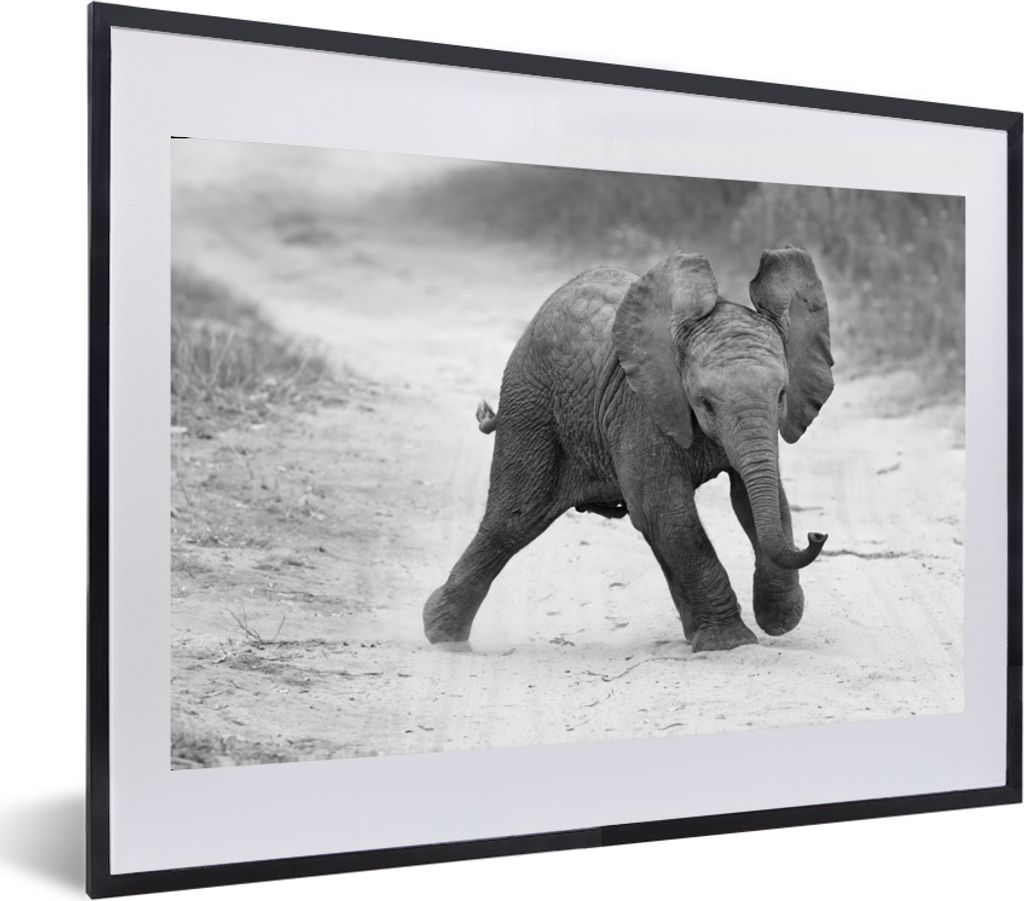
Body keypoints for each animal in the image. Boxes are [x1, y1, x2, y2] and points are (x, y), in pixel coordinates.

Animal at [423, 246, 834, 652]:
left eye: (781, 395)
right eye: (706, 403)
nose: (818, 535)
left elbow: (758, 499)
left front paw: (778, 619)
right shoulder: (640, 408)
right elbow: (668, 511)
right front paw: (731, 643)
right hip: (530, 405)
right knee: (513, 519)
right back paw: (442, 635)